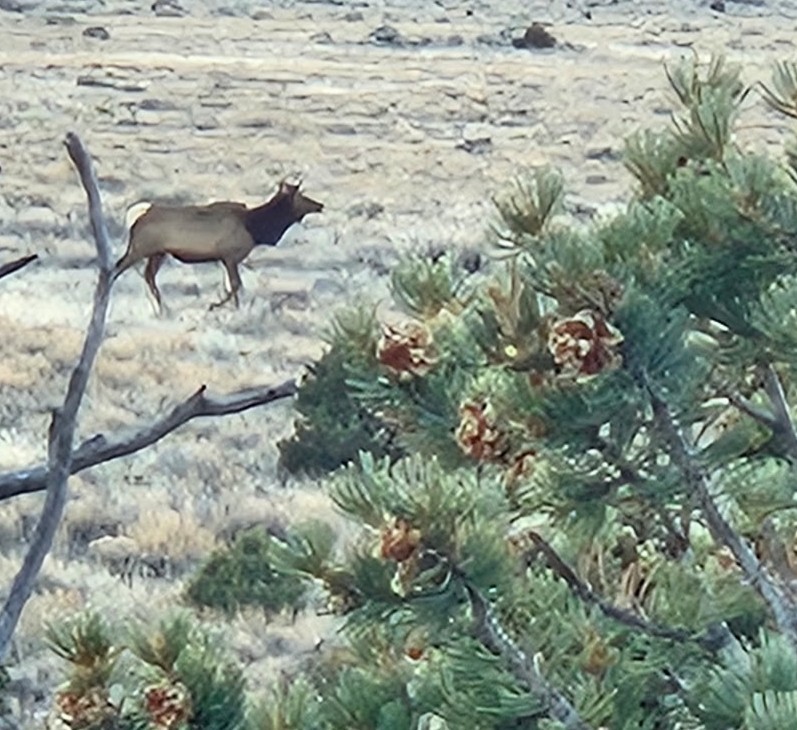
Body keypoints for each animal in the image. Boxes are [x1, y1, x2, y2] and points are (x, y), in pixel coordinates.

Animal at [112, 181, 324, 310]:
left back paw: (161, 306)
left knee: (149, 276)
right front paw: (217, 306)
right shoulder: (230, 256)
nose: (320, 205)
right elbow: (236, 286)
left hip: (158, 253)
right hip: (140, 249)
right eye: (302, 196)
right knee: (116, 268)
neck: (256, 227)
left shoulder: (226, 259)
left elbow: (233, 286)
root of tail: (136, 216)